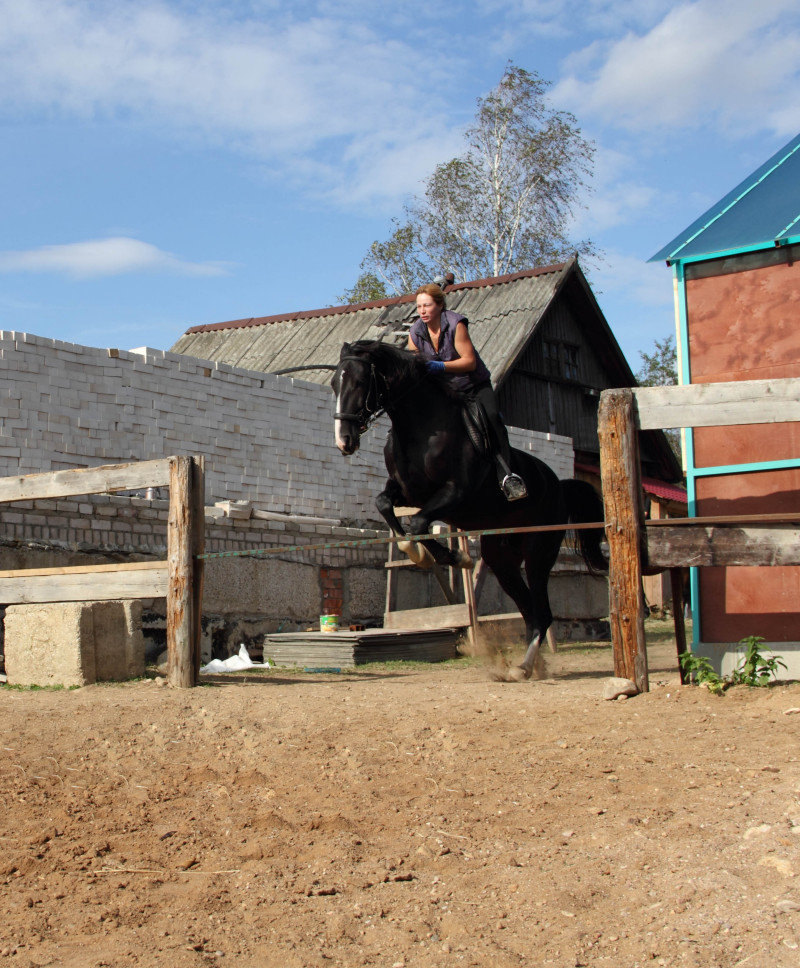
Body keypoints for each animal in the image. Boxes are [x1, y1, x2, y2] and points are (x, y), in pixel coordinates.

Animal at [332, 340, 608, 680]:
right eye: (335, 384)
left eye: (359, 383)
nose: (344, 441)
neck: (420, 427)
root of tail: (558, 485)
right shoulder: (407, 491)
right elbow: (385, 505)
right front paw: (418, 552)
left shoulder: (455, 493)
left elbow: (418, 523)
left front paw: (452, 557)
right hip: (501, 558)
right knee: (530, 611)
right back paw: (525, 666)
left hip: (539, 551)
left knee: (542, 612)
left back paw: (523, 667)